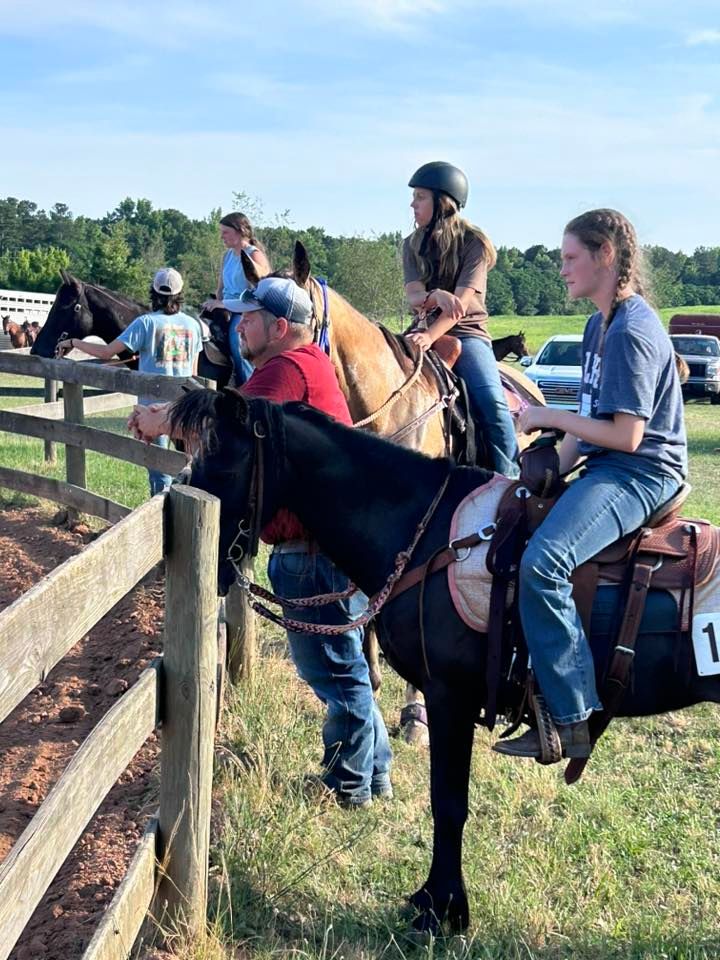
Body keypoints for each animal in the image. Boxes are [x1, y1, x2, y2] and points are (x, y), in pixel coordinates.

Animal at [167, 386, 720, 932]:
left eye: (221, 465)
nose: (215, 566)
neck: (425, 534)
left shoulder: (449, 696)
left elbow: (448, 802)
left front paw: (442, 908)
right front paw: (439, 900)